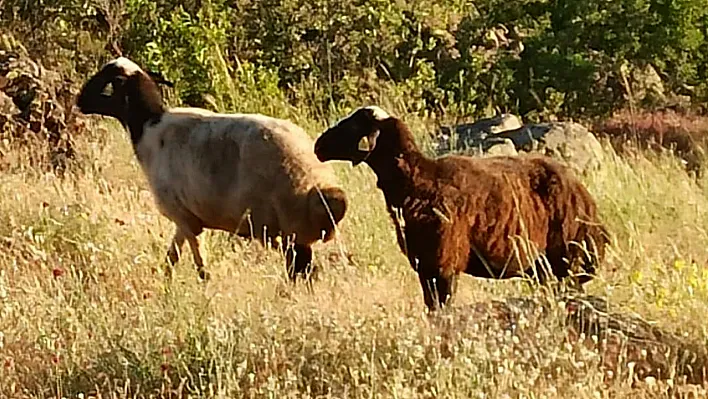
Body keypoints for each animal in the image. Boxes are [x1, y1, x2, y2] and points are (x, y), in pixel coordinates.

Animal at [76, 57, 348, 282]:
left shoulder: (183, 217)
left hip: (288, 229)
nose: (80, 101)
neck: (148, 125)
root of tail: (326, 189)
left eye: (107, 81)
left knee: (302, 270)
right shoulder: (187, 218)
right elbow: (171, 259)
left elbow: (201, 267)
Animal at [316, 106, 608, 312]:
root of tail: (588, 202)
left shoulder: (443, 263)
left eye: (355, 125)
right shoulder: (426, 267)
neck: (419, 180)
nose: (319, 145)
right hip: (544, 270)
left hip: (568, 263)